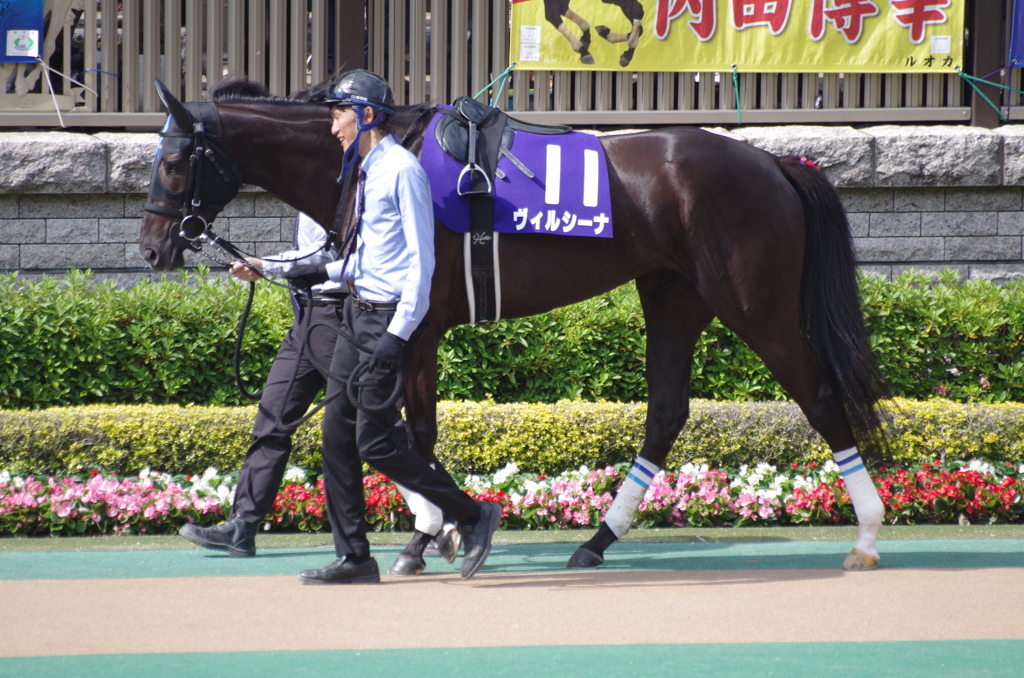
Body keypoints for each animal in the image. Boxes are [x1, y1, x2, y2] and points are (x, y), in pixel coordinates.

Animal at [138, 82, 888, 577]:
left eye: (173, 162)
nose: (152, 248)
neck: (381, 155)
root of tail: (776, 163)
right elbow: (396, 432)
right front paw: (439, 526)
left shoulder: (420, 323)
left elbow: (412, 433)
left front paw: (430, 534)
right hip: (674, 297)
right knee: (667, 413)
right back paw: (596, 541)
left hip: (756, 306)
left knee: (820, 397)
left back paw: (867, 536)